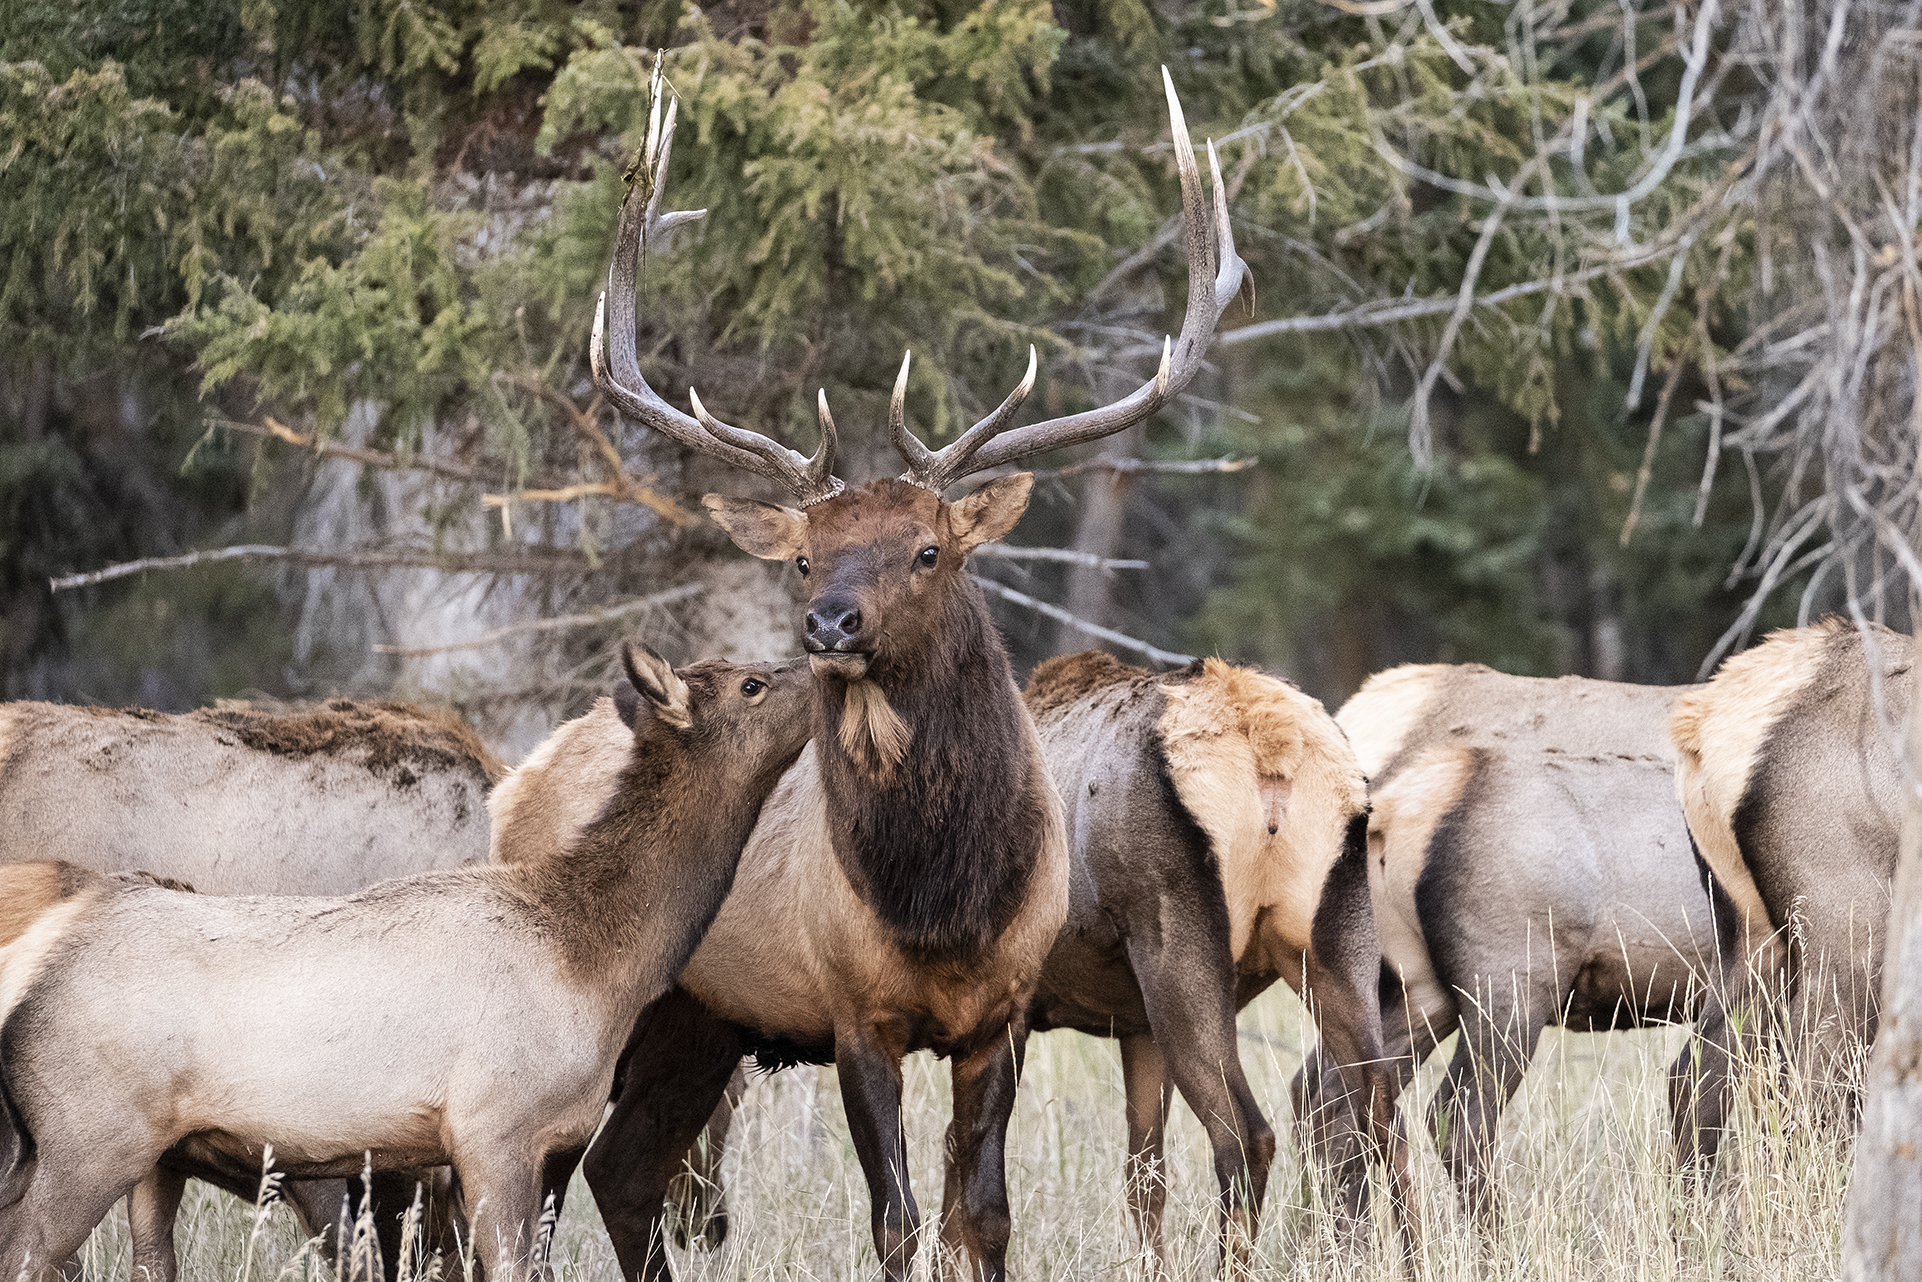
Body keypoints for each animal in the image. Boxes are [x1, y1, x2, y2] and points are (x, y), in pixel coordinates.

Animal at [0, 653, 811, 1282]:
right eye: (751, 684)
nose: (819, 656)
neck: (597, 960)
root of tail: (33, 965)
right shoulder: (491, 1131)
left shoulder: (555, 1142)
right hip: (90, 1140)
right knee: (28, 1251)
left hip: (133, 1158)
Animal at [526, 65, 1245, 1276]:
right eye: (805, 553)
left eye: (928, 550)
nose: (828, 622)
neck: (942, 904)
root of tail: (513, 782)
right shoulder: (853, 1011)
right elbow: (896, 1221)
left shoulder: (1001, 1013)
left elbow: (980, 1215)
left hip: (697, 1020)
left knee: (621, 1171)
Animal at [1022, 661, 1399, 1276]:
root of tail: (1265, 735)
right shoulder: (1137, 1028)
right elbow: (1144, 1176)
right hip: (1336, 943)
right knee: (1384, 1108)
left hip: (1178, 954)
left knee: (1246, 1136)